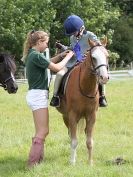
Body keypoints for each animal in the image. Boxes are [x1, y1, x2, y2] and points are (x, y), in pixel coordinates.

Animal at [56, 37, 109, 165]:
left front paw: (90, 162)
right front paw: (72, 162)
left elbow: (89, 141)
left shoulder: (91, 116)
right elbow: (74, 140)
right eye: (93, 57)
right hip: (66, 116)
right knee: (71, 135)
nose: (104, 78)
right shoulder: (72, 115)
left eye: (107, 56)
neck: (86, 86)